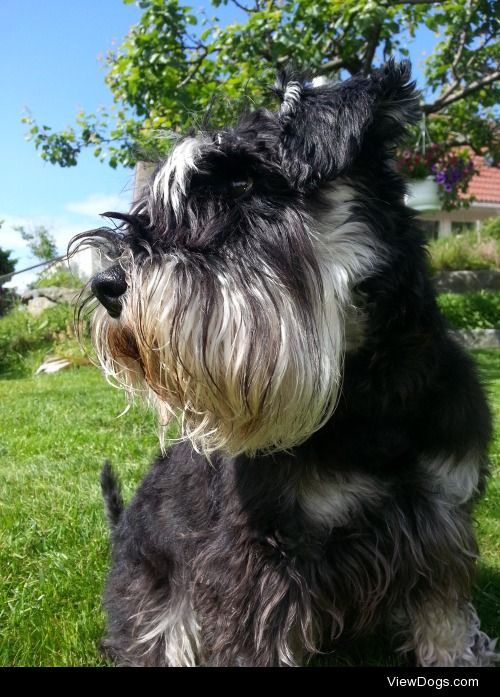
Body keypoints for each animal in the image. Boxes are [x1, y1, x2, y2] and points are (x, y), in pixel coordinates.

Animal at [76, 59, 498, 664]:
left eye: (244, 184)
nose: (105, 284)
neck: (375, 395)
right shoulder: (262, 559)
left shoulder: (442, 524)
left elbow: (444, 623)